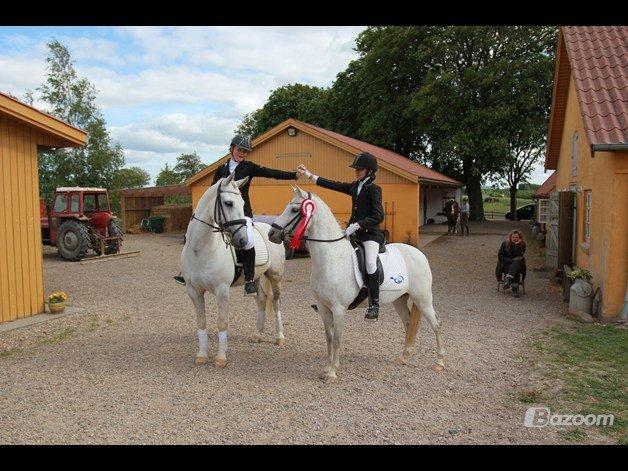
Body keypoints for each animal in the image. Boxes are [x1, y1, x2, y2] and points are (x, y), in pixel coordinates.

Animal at [180, 173, 286, 368]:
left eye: (243, 204)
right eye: (228, 203)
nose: (242, 240)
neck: (201, 250)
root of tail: (270, 229)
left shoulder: (222, 291)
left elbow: (222, 323)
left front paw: (221, 358)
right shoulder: (194, 291)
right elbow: (201, 322)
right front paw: (201, 355)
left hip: (275, 277)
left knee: (275, 303)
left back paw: (279, 338)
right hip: (256, 278)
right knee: (261, 300)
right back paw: (257, 335)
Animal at [268, 185, 444, 384]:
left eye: (294, 210)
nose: (271, 234)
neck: (331, 258)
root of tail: (419, 254)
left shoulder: (339, 308)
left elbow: (337, 338)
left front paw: (332, 373)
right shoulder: (323, 307)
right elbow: (329, 337)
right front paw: (328, 367)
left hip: (423, 299)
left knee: (436, 324)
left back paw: (439, 363)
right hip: (399, 300)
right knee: (408, 325)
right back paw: (404, 357)